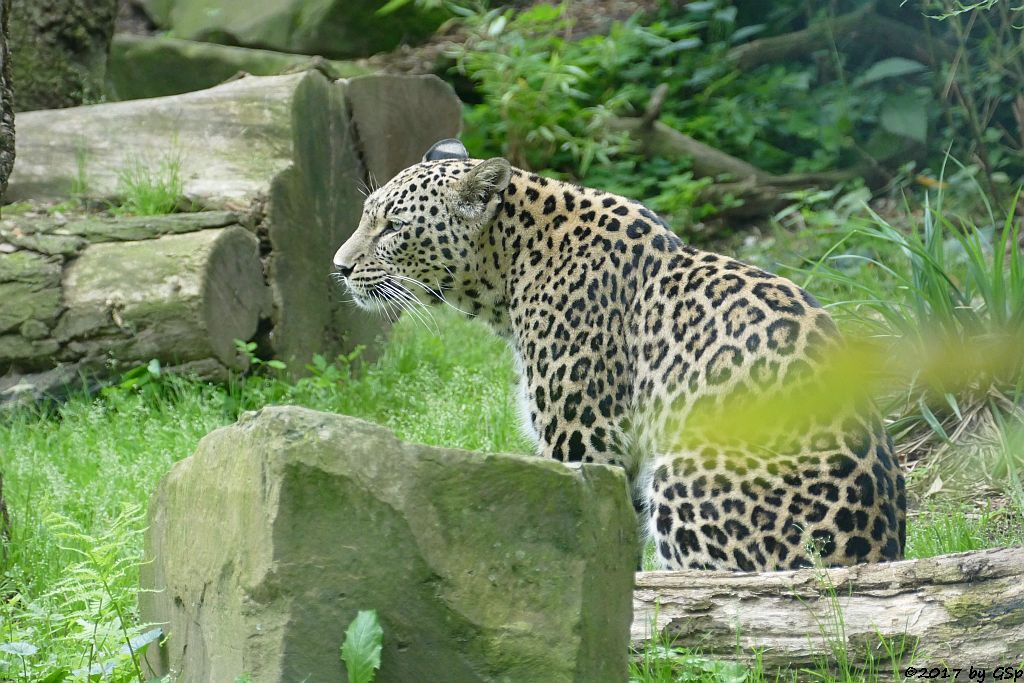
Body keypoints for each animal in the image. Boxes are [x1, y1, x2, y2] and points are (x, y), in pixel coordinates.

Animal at [333, 140, 905, 573]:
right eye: (366, 216)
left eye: (392, 227)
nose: (339, 266)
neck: (510, 264)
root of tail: (875, 553)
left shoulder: (582, 437)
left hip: (685, 469)